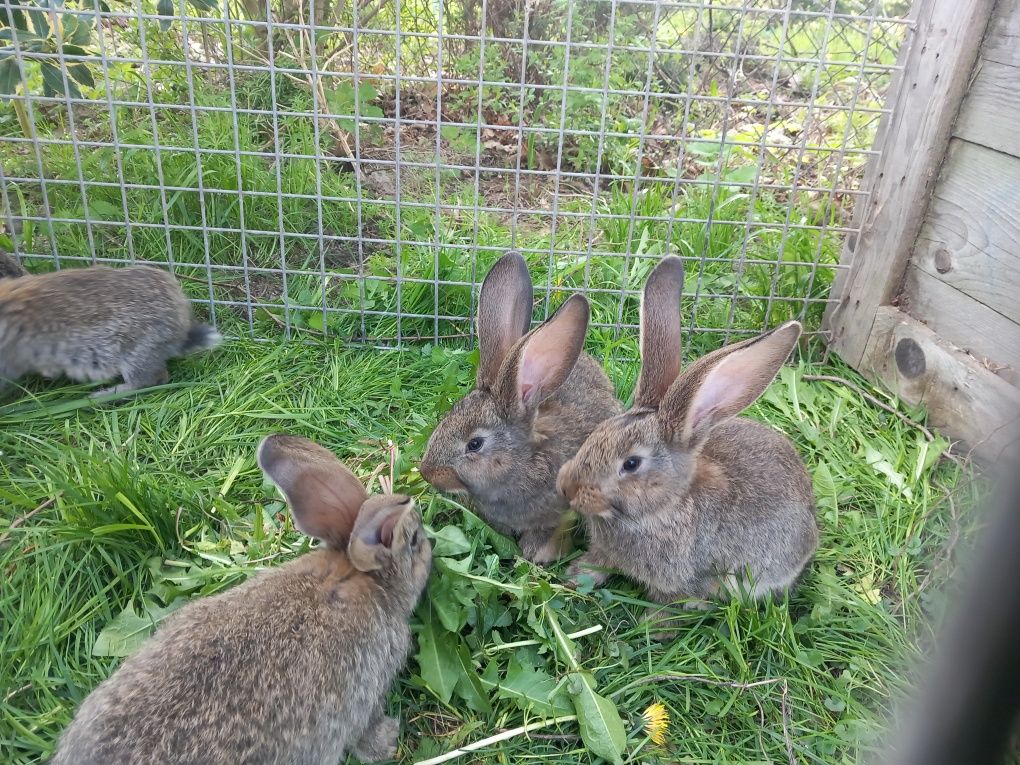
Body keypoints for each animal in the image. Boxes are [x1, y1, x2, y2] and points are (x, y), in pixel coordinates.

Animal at [49, 436, 432, 765]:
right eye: (414, 541)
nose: (433, 545)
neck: (351, 577)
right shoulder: (367, 694)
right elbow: (365, 731)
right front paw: (387, 740)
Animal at [554, 255, 816, 620]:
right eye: (595, 434)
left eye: (631, 464)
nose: (567, 487)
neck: (661, 511)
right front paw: (577, 575)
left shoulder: (687, 580)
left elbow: (672, 604)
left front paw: (653, 624)